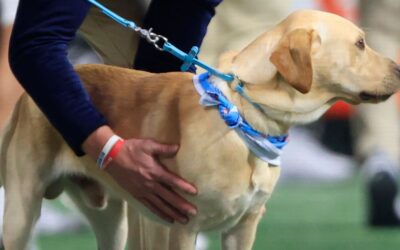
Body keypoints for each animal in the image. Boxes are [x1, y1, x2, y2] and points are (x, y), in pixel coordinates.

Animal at [0, 9, 400, 250]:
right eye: (360, 44)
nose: (399, 68)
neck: (242, 114)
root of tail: (27, 97)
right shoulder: (182, 226)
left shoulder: (243, 226)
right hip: (22, 208)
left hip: (112, 217)